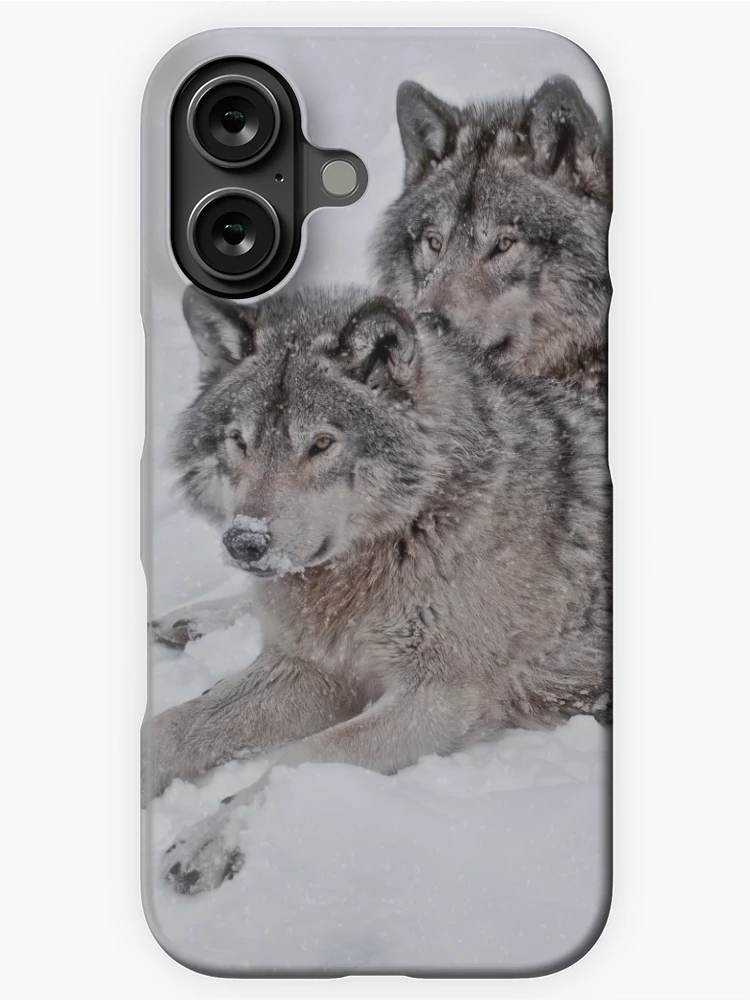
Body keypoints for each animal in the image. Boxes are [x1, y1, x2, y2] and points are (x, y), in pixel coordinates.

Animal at [143, 285, 610, 894]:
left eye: (321, 444)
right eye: (239, 442)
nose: (244, 541)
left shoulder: (438, 699)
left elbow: (304, 755)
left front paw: (214, 835)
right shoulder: (312, 667)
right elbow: (173, 726)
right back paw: (190, 619)